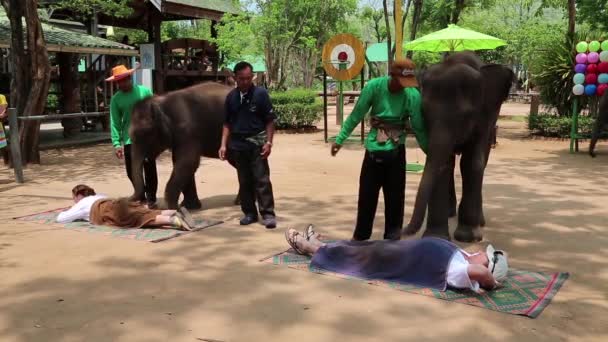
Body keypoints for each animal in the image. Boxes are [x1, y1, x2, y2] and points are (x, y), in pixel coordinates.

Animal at [130, 82, 238, 210]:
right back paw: (238, 202)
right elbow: (180, 162)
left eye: (145, 134)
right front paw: (190, 207)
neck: (162, 101)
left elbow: (188, 162)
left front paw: (174, 208)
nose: (147, 204)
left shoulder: (188, 131)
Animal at [404, 52, 512, 242]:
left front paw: (467, 237)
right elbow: (444, 164)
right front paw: (436, 237)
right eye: (423, 113)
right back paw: (450, 213)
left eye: (465, 116)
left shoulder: (484, 118)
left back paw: (480, 222)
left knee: (481, 161)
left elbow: (471, 163)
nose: (403, 231)